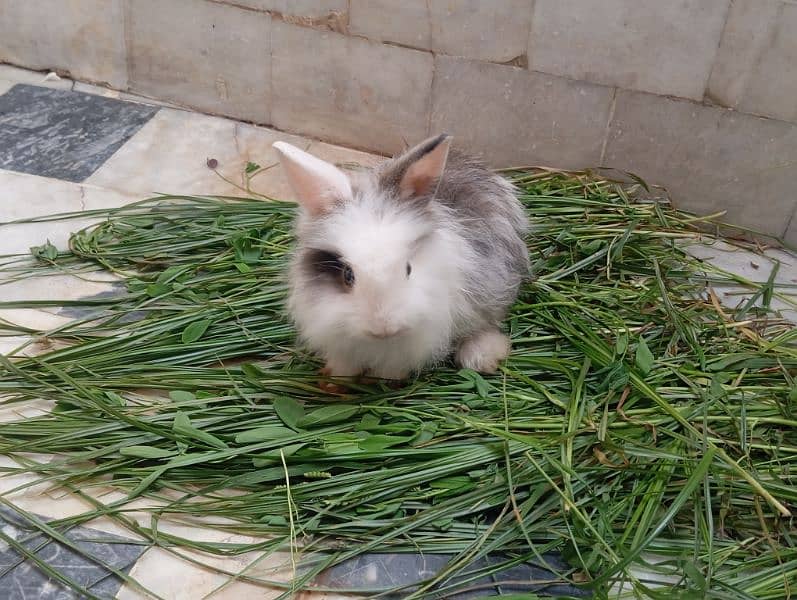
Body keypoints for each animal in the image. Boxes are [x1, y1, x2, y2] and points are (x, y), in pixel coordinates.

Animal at [274, 134, 528, 382]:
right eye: (348, 275)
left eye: (408, 269)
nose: (383, 328)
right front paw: (335, 378)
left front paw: (387, 379)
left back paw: (481, 358)